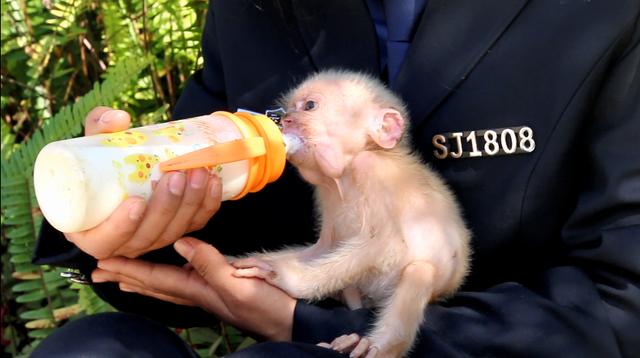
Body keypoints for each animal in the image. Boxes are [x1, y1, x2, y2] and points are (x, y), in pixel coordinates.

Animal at [231, 70, 470, 358]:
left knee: (419, 271)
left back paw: (380, 347)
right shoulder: (324, 191)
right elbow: (325, 248)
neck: (344, 176)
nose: (286, 121)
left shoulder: (371, 169)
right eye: (288, 110)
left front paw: (286, 278)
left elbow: (387, 246)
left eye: (309, 106)